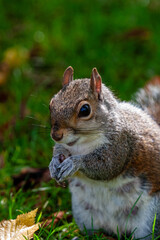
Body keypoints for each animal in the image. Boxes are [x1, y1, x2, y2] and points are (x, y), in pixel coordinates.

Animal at [48, 66, 160, 239]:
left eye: (85, 110)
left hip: (150, 218)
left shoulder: (121, 145)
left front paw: (74, 163)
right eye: (51, 104)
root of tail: (116, 229)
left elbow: (106, 167)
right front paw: (53, 164)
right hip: (84, 214)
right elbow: (59, 151)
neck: (82, 143)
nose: (56, 135)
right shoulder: (64, 146)